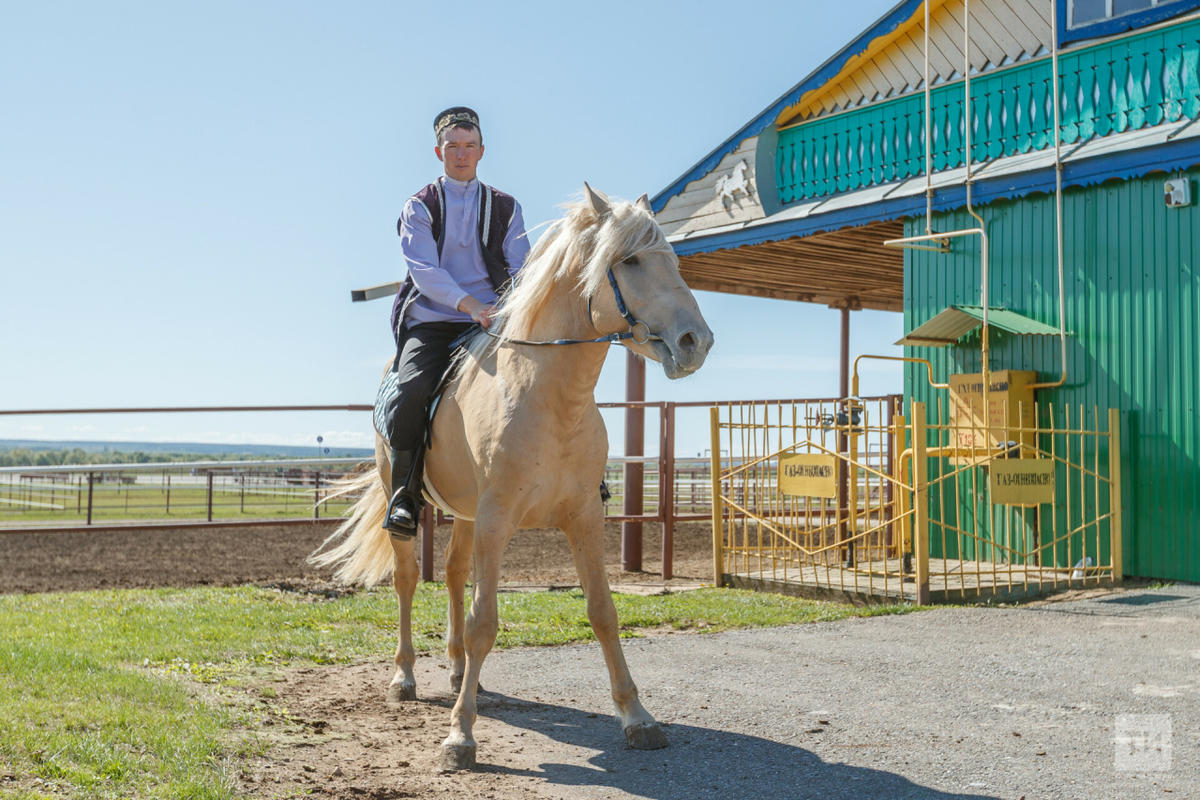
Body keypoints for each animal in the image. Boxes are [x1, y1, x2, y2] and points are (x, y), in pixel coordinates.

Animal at [314, 184, 715, 772]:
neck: (548, 398)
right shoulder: (498, 519)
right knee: (407, 581)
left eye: (674, 260)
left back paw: (460, 673)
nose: (696, 342)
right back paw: (405, 678)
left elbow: (603, 611)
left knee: (453, 575)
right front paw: (460, 737)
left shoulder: (583, 518)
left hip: (465, 514)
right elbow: (485, 621)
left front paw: (637, 718)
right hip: (406, 498)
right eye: (630, 261)